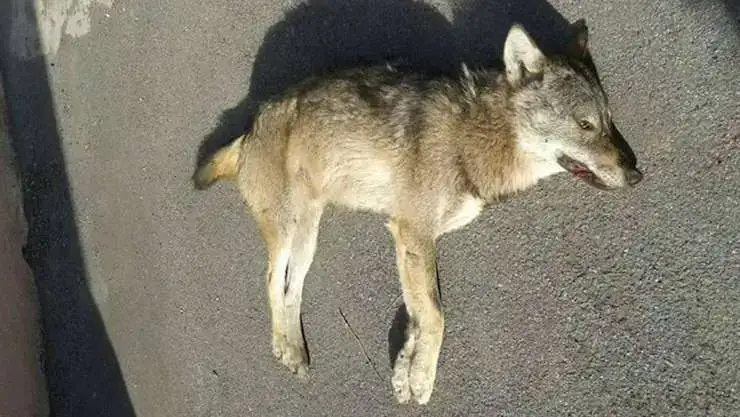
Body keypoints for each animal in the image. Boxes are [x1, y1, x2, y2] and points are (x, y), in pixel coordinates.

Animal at [192, 21, 643, 405]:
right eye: (585, 125)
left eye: (609, 122)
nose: (637, 174)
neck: (473, 135)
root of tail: (249, 129)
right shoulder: (413, 232)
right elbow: (437, 317)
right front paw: (422, 379)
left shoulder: (413, 240)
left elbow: (420, 313)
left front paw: (404, 373)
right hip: (289, 232)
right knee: (272, 280)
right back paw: (285, 347)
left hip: (309, 238)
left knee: (291, 287)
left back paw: (294, 350)